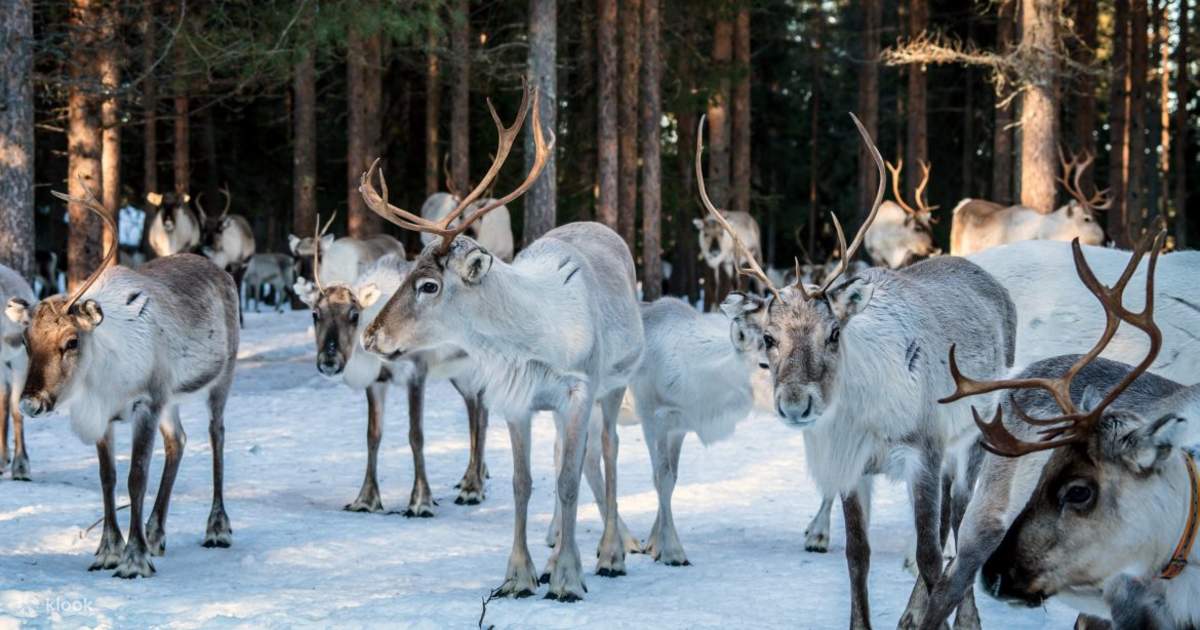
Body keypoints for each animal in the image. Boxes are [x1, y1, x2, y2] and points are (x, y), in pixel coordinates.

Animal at [10, 182, 238, 578]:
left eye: (71, 341)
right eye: (26, 341)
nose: (30, 403)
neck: (101, 377)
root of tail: (222, 273)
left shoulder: (145, 403)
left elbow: (136, 477)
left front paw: (134, 559)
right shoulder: (106, 415)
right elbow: (108, 477)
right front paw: (108, 551)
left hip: (221, 378)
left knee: (217, 435)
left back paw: (216, 529)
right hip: (171, 399)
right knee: (178, 441)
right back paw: (155, 532)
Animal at [300, 216, 489, 512]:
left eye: (354, 314)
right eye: (314, 314)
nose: (329, 361)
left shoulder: (417, 372)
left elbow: (416, 435)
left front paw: (421, 501)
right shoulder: (377, 381)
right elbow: (372, 435)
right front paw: (366, 499)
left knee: (481, 415)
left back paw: (473, 487)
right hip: (459, 373)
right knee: (475, 410)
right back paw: (472, 476)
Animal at [358, 82, 644, 602]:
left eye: (428, 285)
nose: (371, 335)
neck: (534, 338)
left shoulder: (579, 391)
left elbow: (569, 481)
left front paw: (568, 579)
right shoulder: (517, 401)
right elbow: (522, 482)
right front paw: (520, 575)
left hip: (614, 386)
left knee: (610, 451)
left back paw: (610, 554)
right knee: (566, 458)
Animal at [704, 113, 1017, 629]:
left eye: (834, 333)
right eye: (768, 338)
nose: (796, 404)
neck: (864, 415)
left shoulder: (924, 451)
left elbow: (929, 556)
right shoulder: (853, 465)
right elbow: (858, 554)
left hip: (973, 435)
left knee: (959, 519)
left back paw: (964, 616)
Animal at [918, 233, 1200, 630]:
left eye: (1078, 492)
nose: (998, 576)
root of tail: (1025, 372)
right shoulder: (1130, 598)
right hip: (984, 519)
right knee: (946, 584)